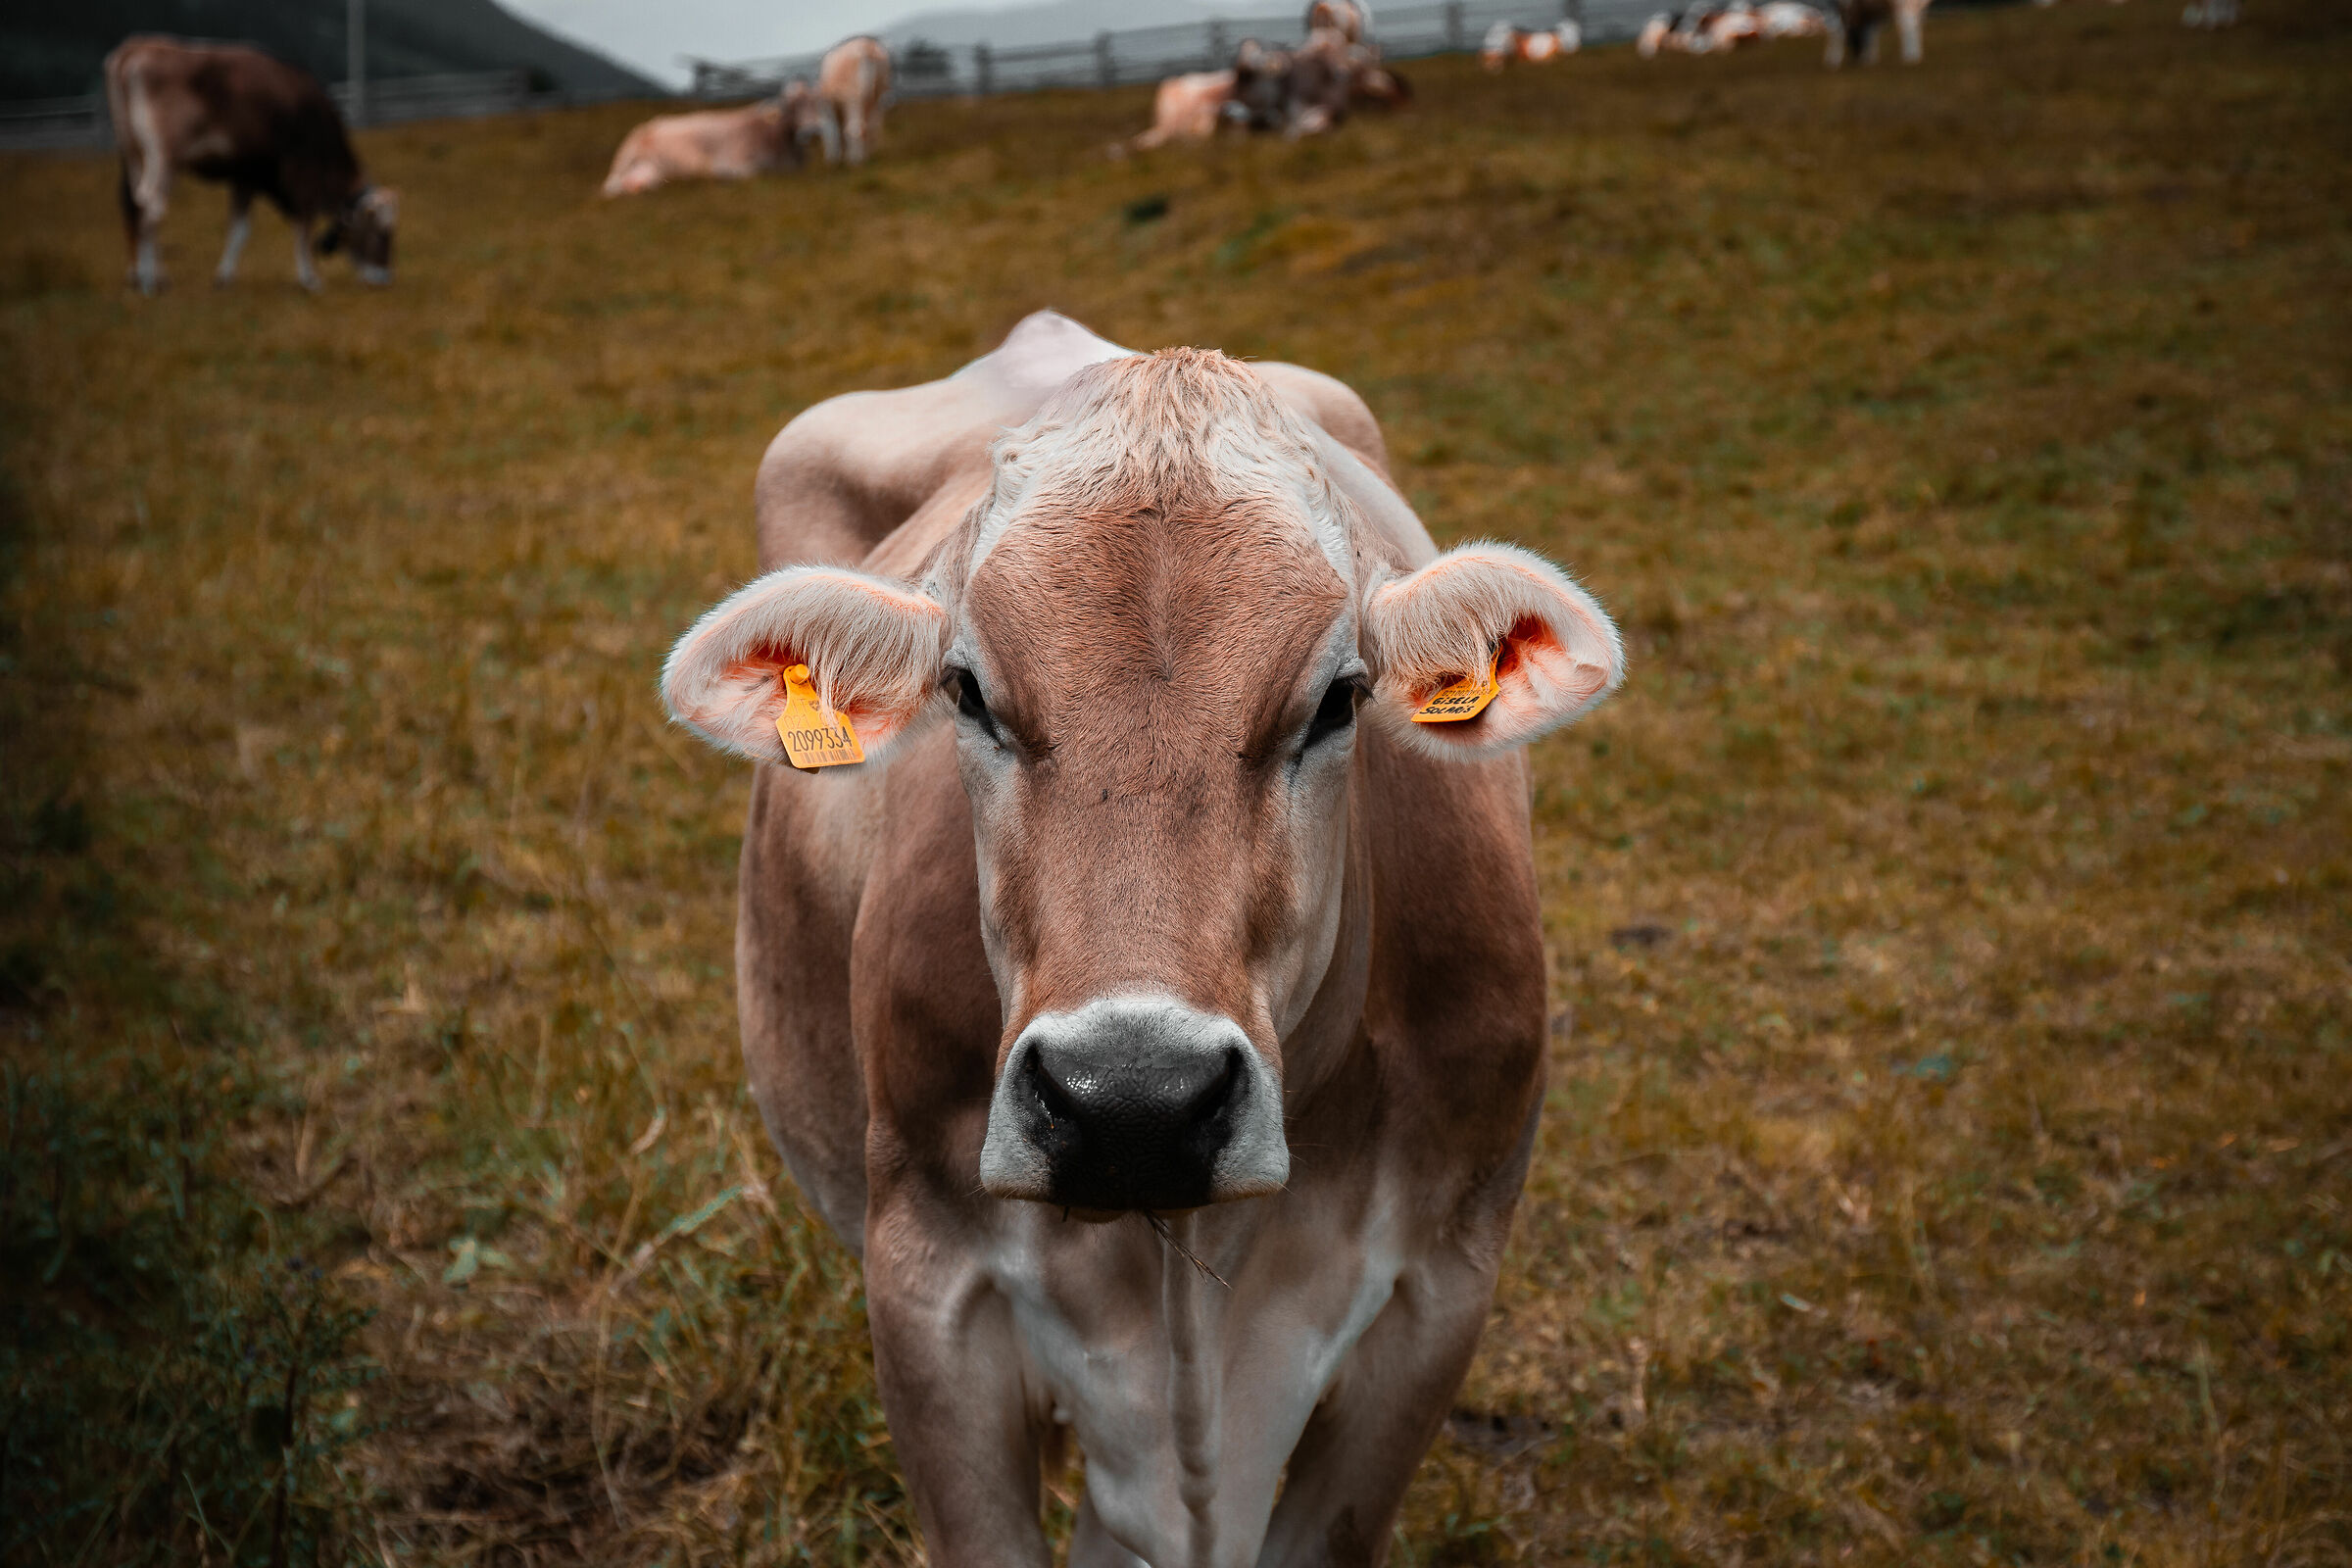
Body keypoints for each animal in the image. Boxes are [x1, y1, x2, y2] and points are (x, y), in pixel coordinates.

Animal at [103, 36, 397, 296]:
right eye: (383, 233)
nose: (384, 279)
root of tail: (133, 53)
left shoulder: (245, 174)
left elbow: (239, 229)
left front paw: (224, 278)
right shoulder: (297, 172)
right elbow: (302, 224)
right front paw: (310, 280)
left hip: (133, 151)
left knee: (135, 203)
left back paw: (151, 276)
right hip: (165, 154)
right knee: (152, 205)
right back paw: (149, 283)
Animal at [601, 83, 824, 198]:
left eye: (816, 104)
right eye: (793, 106)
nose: (811, 132)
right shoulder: (733, 163)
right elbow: (750, 174)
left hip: (651, 169)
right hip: (626, 158)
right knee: (610, 188)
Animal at [815, 36, 892, 165]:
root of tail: (867, 46)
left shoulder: (829, 105)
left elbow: (832, 130)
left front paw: (834, 158)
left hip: (853, 96)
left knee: (855, 127)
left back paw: (855, 160)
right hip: (876, 93)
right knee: (872, 125)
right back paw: (870, 155)